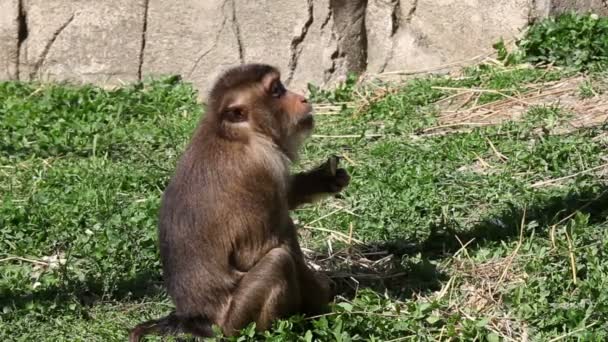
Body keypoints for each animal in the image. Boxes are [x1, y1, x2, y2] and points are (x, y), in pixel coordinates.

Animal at [129, 63, 352, 340]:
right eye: (277, 90)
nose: (302, 98)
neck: (235, 134)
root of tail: (197, 320)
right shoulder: (262, 166)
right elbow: (261, 249)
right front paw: (322, 300)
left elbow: (286, 196)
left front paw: (326, 178)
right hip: (235, 320)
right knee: (277, 260)